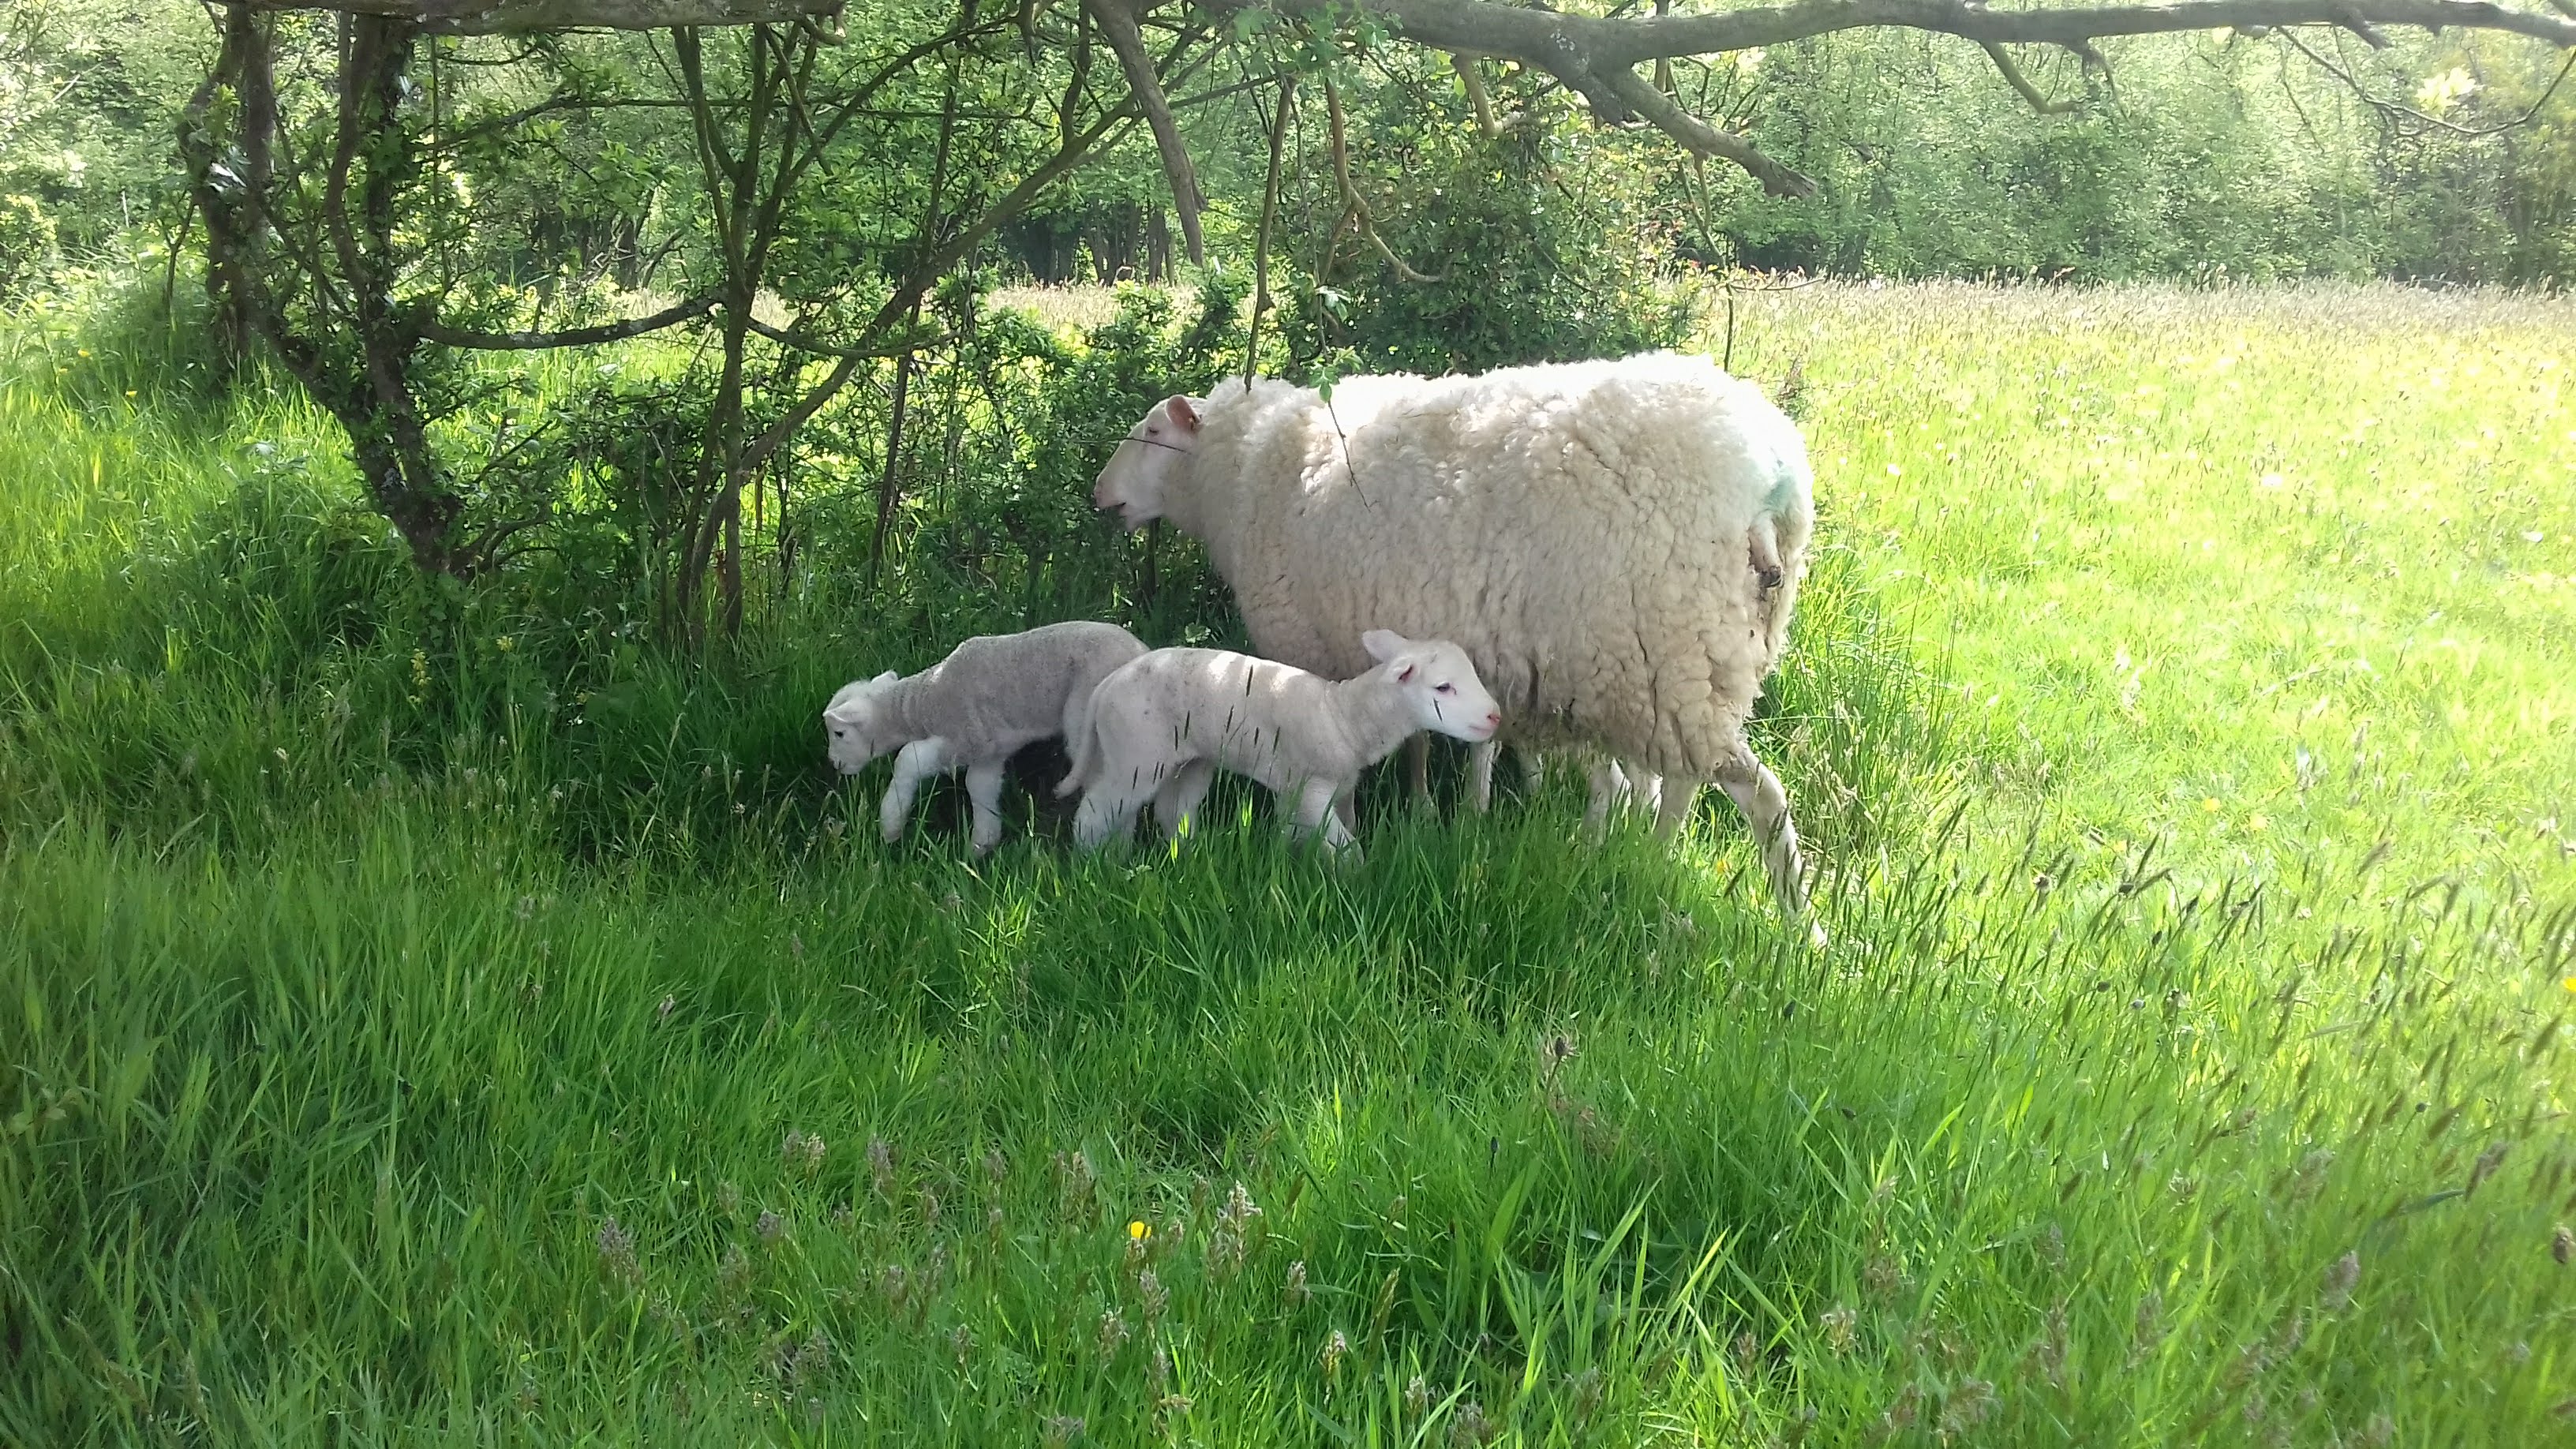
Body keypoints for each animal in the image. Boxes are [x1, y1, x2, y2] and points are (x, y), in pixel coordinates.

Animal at [823, 620, 1146, 856]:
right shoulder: (990, 750)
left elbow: (909, 758)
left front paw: (890, 826)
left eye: (839, 733)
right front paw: (981, 844)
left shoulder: (967, 738)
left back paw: (1106, 851)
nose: (834, 763)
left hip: (1088, 723)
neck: (923, 703)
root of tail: (1142, 653)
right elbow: (979, 786)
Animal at [1057, 629, 1501, 859]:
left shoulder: (1306, 789)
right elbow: (1347, 846)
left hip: (1192, 759)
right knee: (1096, 811)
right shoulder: (1311, 788)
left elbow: (1299, 833)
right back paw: (1096, 863)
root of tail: (1107, 685)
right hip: (1136, 754)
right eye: (1443, 687)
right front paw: (1358, 878)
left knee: (1174, 810)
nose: (1495, 715)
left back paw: (1189, 855)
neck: (1343, 715)